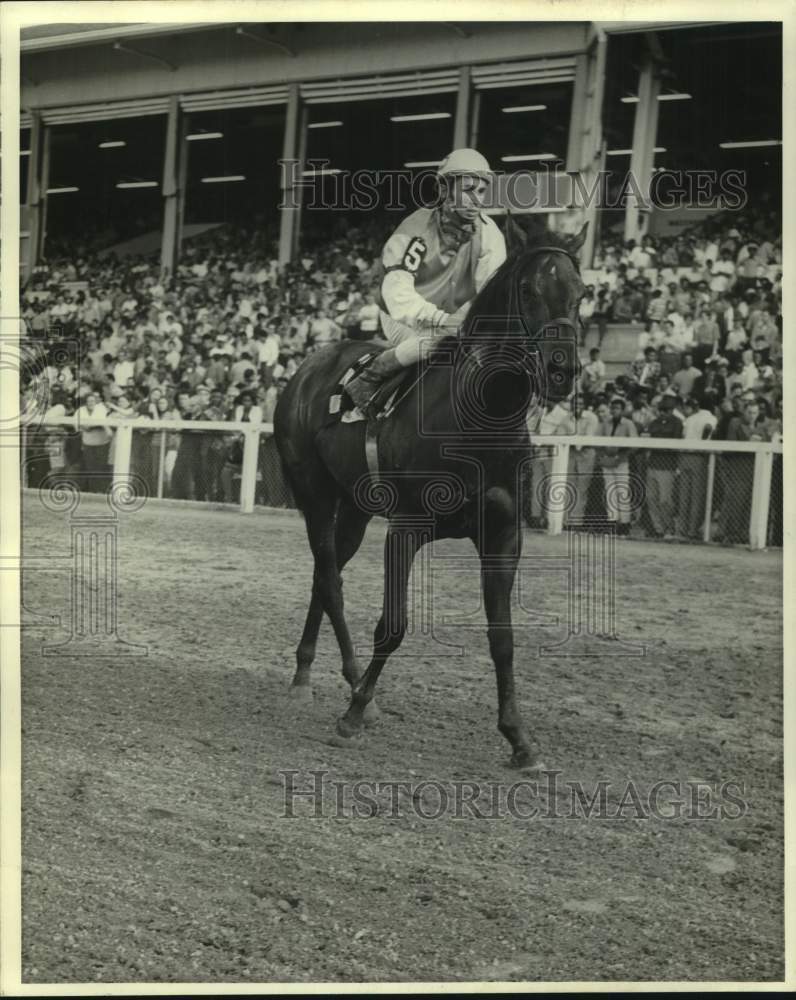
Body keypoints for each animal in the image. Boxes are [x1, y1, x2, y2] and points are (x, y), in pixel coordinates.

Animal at [274, 219, 584, 764]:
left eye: (583, 294)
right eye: (529, 290)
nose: (561, 370)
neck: (479, 418)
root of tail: (308, 368)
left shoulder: (503, 535)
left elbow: (502, 637)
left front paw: (518, 737)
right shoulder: (407, 528)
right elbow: (393, 625)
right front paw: (354, 714)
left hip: (354, 508)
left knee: (323, 575)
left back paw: (311, 674)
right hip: (314, 495)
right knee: (330, 581)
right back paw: (348, 686)